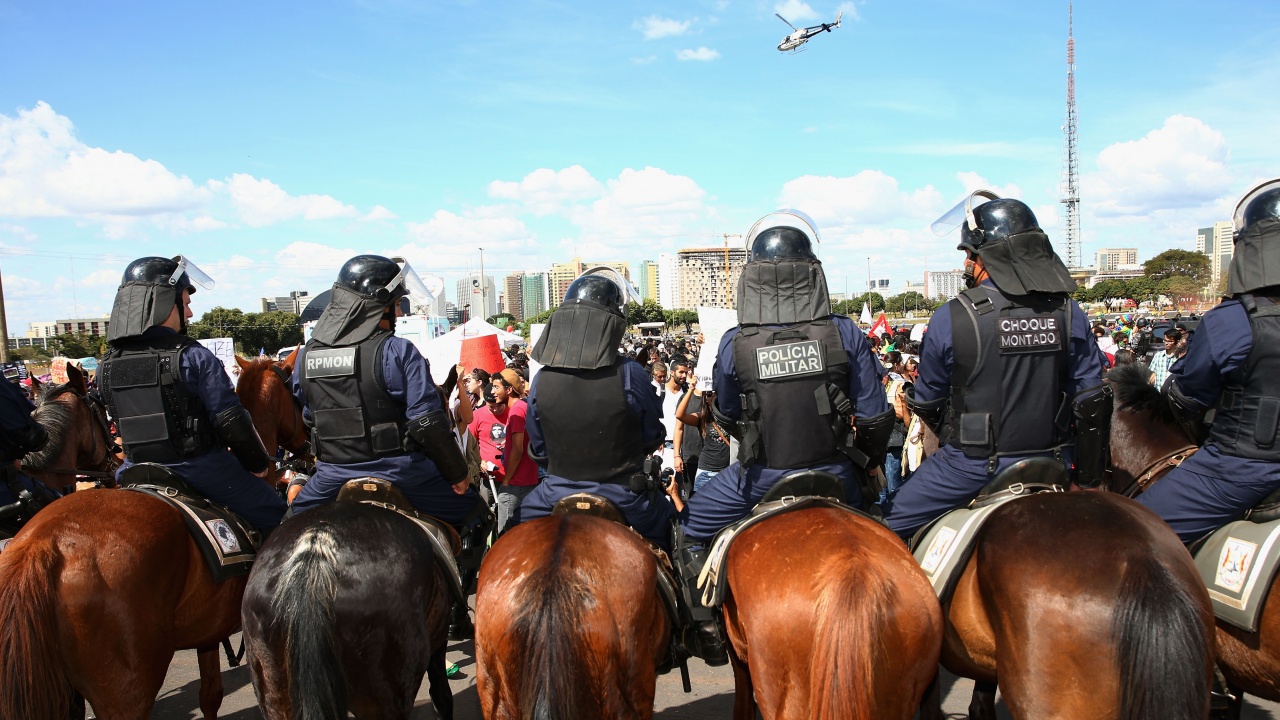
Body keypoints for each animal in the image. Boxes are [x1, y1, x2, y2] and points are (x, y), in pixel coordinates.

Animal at [0, 351, 303, 712]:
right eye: (296, 396)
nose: (308, 443)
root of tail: (45, 543)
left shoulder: (208, 631)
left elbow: (210, 695)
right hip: (126, 689)